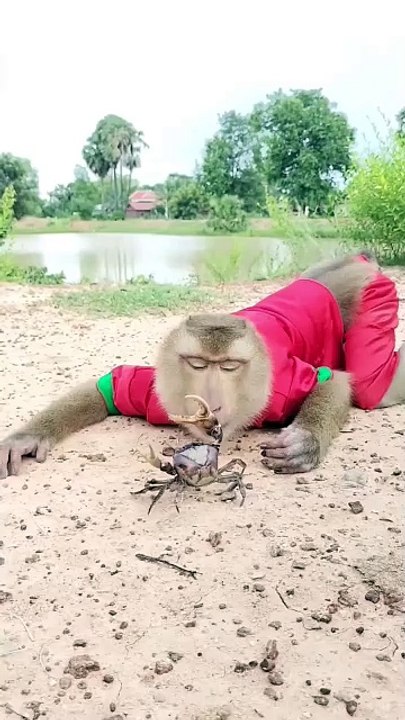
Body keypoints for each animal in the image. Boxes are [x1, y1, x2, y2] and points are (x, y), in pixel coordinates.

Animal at [0, 251, 404, 480]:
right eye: (196, 364)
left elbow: (332, 381)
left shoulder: (281, 386)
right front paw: (28, 437)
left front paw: (305, 441)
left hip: (373, 291)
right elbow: (110, 386)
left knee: (372, 387)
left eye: (229, 367)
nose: (211, 403)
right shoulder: (154, 394)